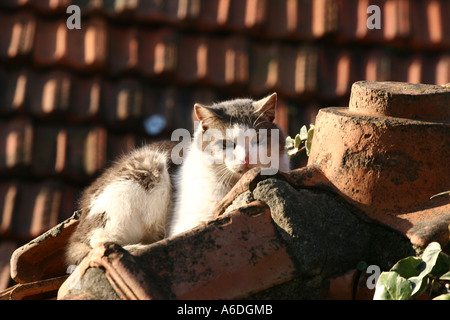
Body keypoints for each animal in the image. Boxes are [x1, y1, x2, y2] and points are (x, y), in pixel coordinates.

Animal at [65, 92, 290, 264]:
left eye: (258, 139)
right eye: (226, 144)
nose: (246, 159)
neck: (233, 184)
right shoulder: (188, 222)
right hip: (144, 172)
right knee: (99, 240)